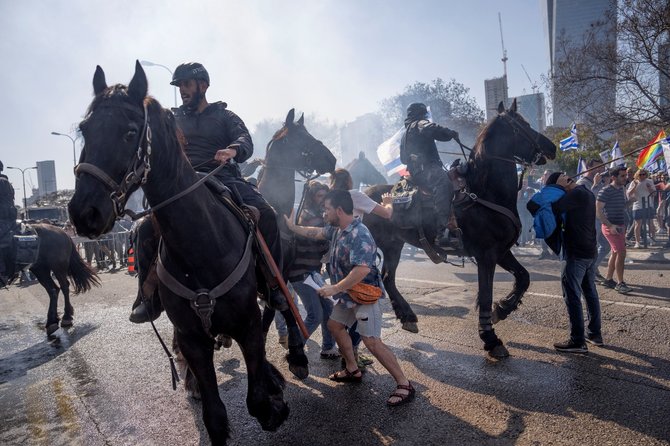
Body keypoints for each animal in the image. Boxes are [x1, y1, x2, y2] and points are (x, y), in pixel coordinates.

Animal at [69, 61, 292, 442]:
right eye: (85, 129)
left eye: (130, 132)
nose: (83, 212)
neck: (201, 244)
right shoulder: (192, 338)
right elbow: (215, 417)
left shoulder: (247, 324)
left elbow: (257, 399)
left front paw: (273, 397)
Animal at [364, 99, 560, 358]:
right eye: (522, 125)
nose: (552, 147)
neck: (485, 192)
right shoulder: (486, 255)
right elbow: (485, 295)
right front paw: (490, 338)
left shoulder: (502, 252)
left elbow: (523, 278)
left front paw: (502, 309)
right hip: (387, 246)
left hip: (393, 245)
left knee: (388, 278)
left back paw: (407, 317)